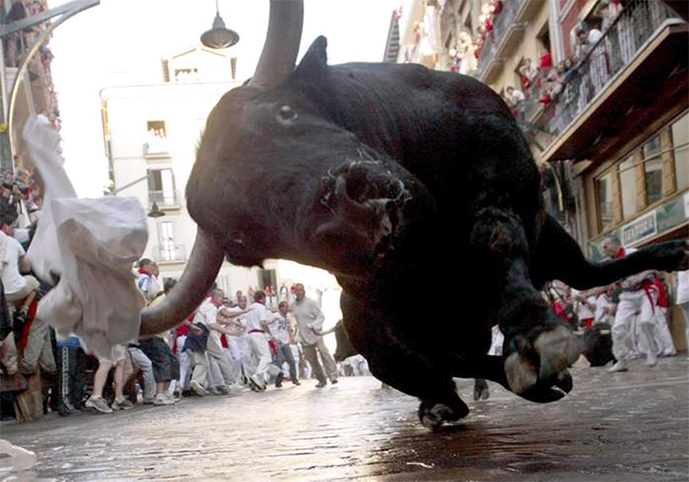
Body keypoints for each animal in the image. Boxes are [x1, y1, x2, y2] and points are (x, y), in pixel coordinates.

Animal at [140, 1, 688, 429]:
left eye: (284, 112)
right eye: (242, 241)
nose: (348, 214)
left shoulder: (501, 164)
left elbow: (494, 237)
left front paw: (537, 334)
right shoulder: (380, 308)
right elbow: (444, 356)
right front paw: (524, 368)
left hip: (556, 242)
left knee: (587, 272)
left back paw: (667, 257)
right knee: (451, 364)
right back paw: (454, 401)